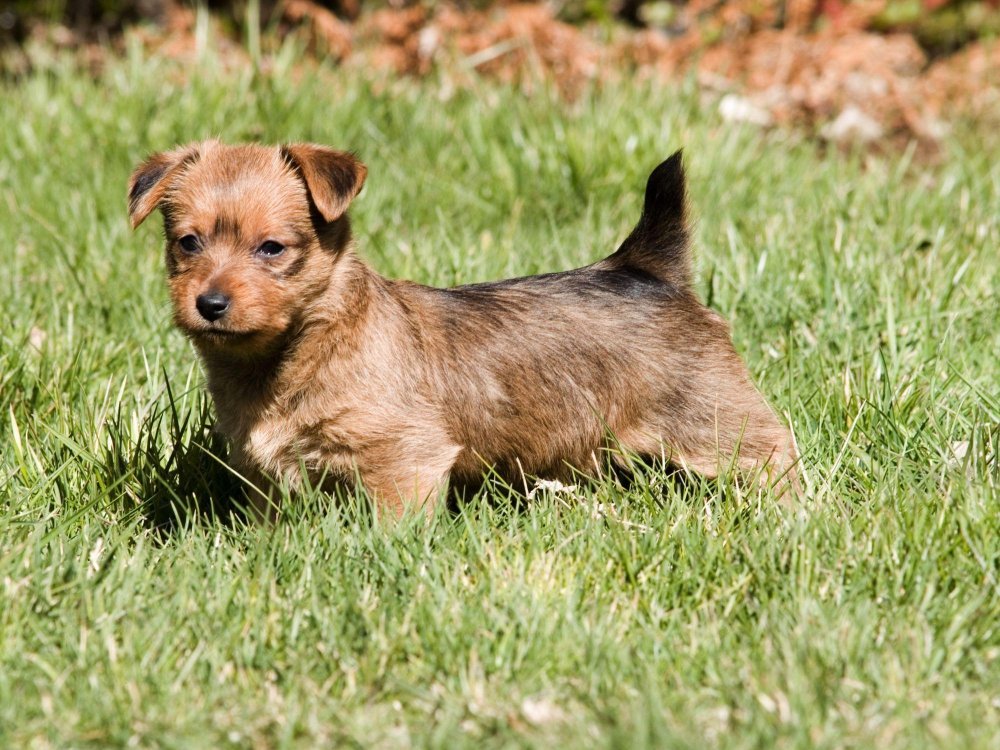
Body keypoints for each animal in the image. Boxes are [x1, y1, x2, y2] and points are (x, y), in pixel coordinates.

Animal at [129, 141, 796, 520]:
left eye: (271, 248)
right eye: (187, 243)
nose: (210, 303)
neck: (303, 345)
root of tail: (644, 268)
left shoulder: (404, 459)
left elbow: (393, 528)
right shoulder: (267, 478)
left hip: (715, 420)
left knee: (773, 454)